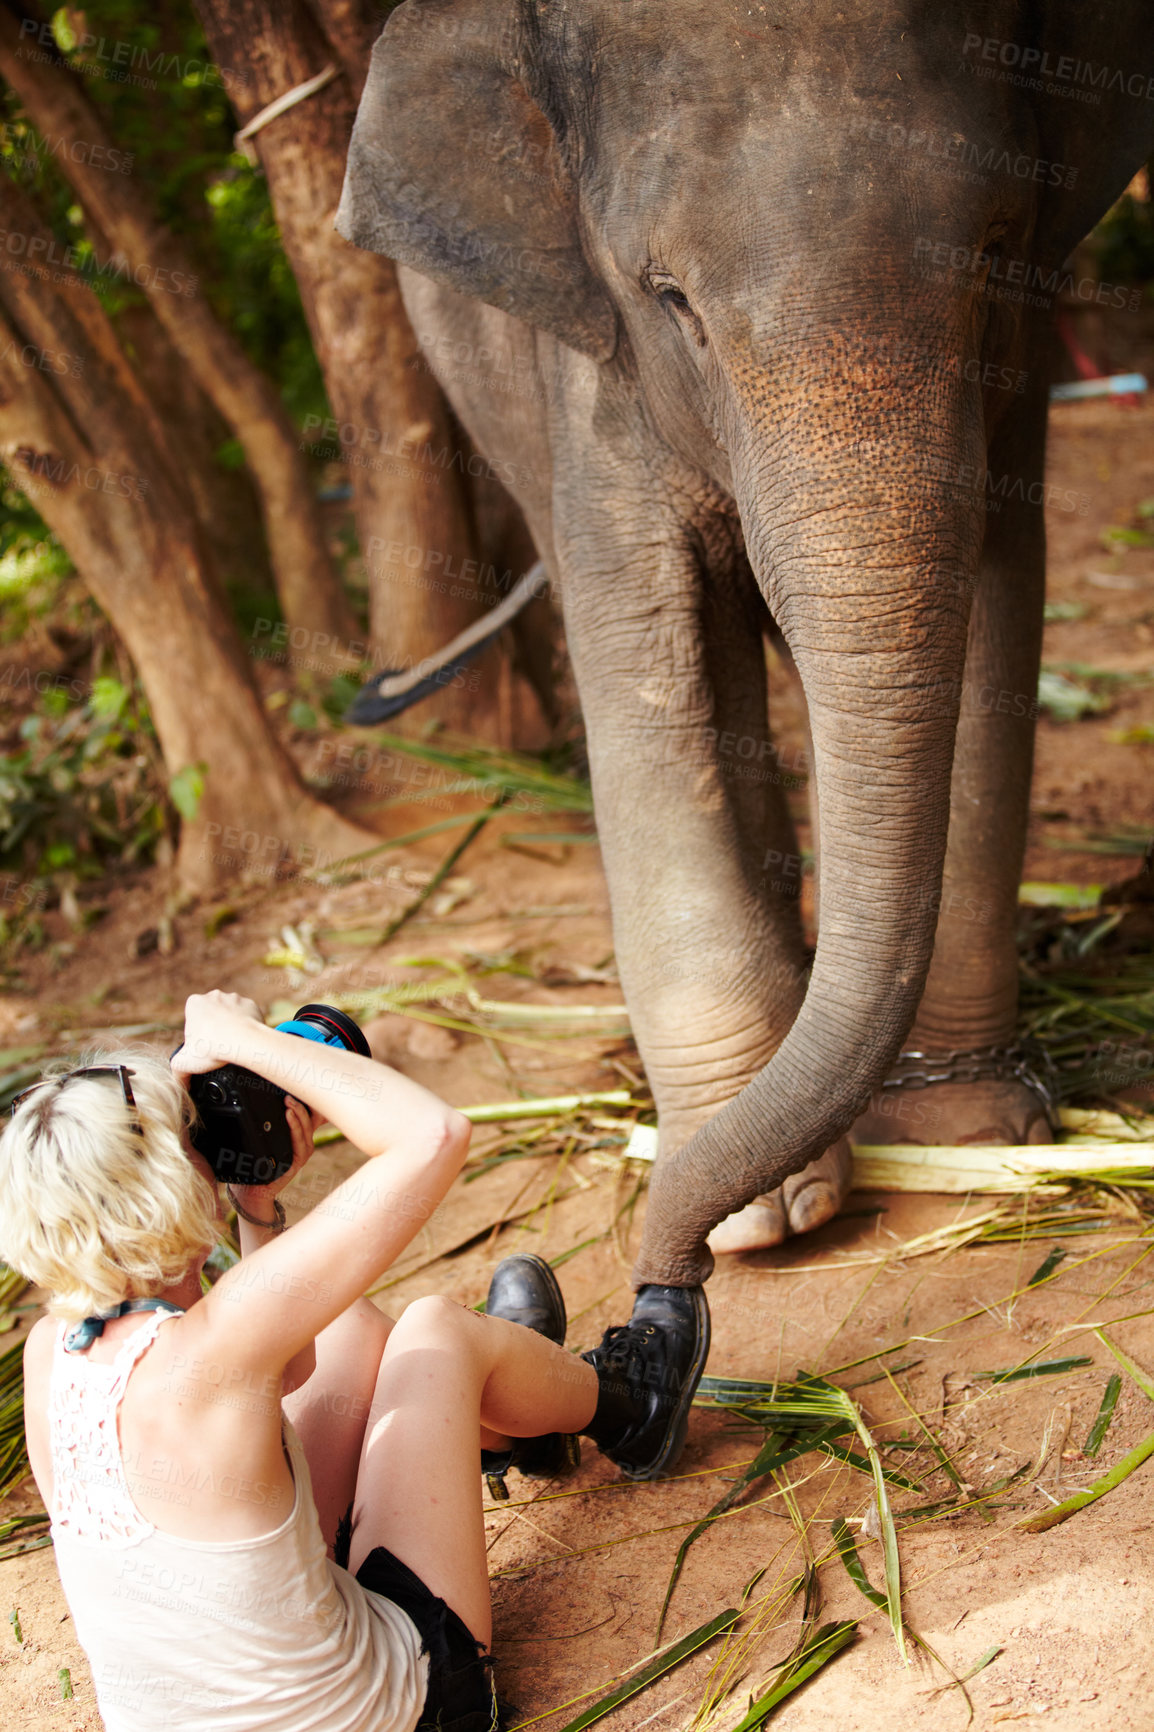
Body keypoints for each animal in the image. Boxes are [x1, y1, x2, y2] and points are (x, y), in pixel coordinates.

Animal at [332, 0, 1150, 1288]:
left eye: (994, 249)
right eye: (670, 297)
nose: (666, 1269)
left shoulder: (1015, 372)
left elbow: (993, 620)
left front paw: (963, 1128)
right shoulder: (588, 379)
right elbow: (646, 664)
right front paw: (762, 1220)